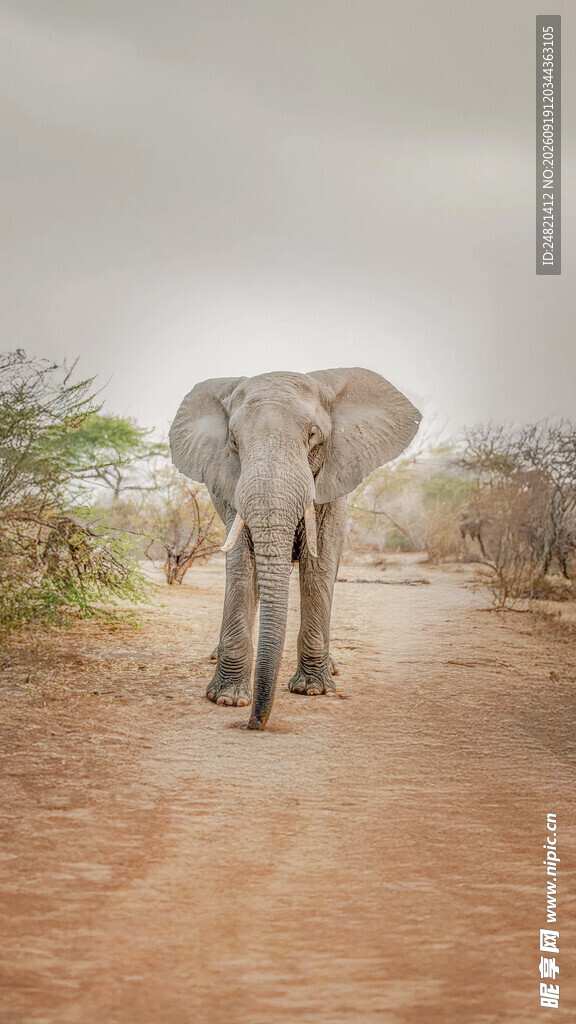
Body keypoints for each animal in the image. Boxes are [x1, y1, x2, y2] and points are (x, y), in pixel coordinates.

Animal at [169, 368, 421, 730]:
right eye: (234, 442)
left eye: (313, 435)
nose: (254, 724)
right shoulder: (231, 489)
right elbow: (242, 566)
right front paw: (227, 699)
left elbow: (318, 568)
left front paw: (312, 690)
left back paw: (330, 668)